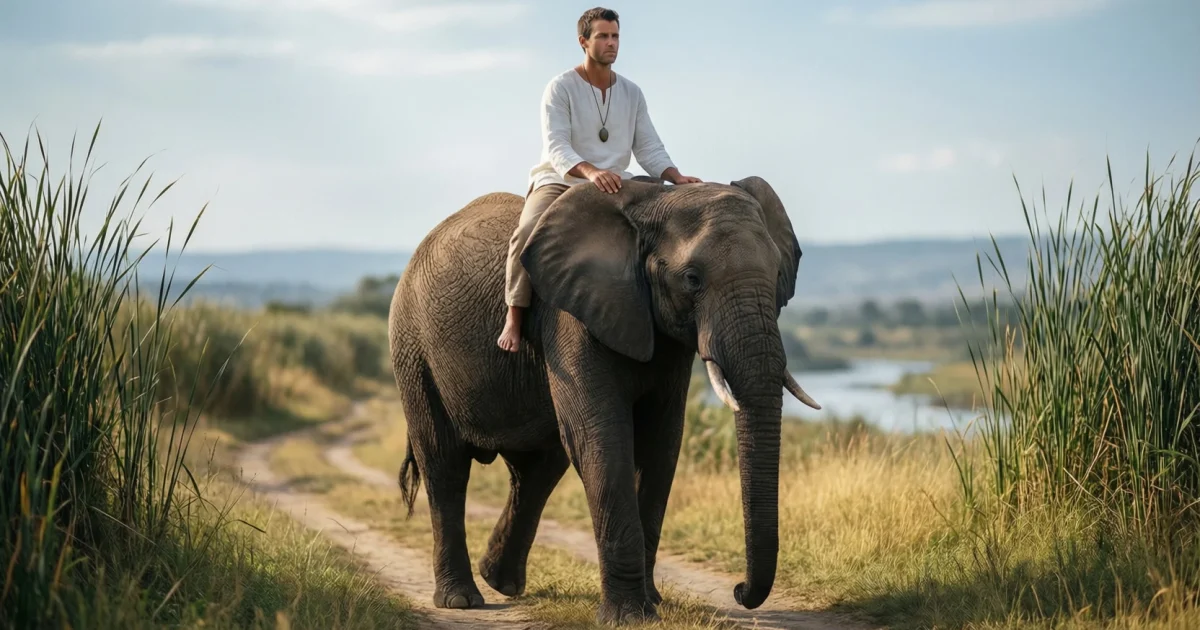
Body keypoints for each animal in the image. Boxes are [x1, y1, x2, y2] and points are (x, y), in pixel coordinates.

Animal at [387, 174, 820, 625]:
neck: (651, 206)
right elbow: (601, 440)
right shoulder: (570, 316)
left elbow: (660, 445)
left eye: (778, 275)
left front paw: (652, 604)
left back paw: (501, 583)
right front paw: (630, 617)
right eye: (692, 279)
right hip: (413, 349)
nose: (738, 590)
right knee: (445, 466)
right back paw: (460, 600)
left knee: (538, 470)